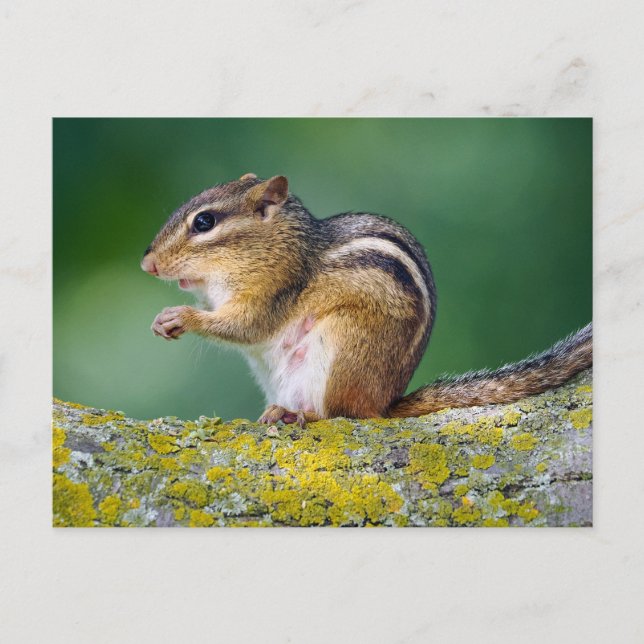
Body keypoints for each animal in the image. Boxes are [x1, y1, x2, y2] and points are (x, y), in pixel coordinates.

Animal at [141, 174, 592, 426]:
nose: (147, 263)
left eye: (204, 222)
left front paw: (181, 316)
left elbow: (245, 326)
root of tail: (385, 401)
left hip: (344, 345)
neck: (280, 247)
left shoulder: (274, 290)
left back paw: (297, 413)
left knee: (342, 413)